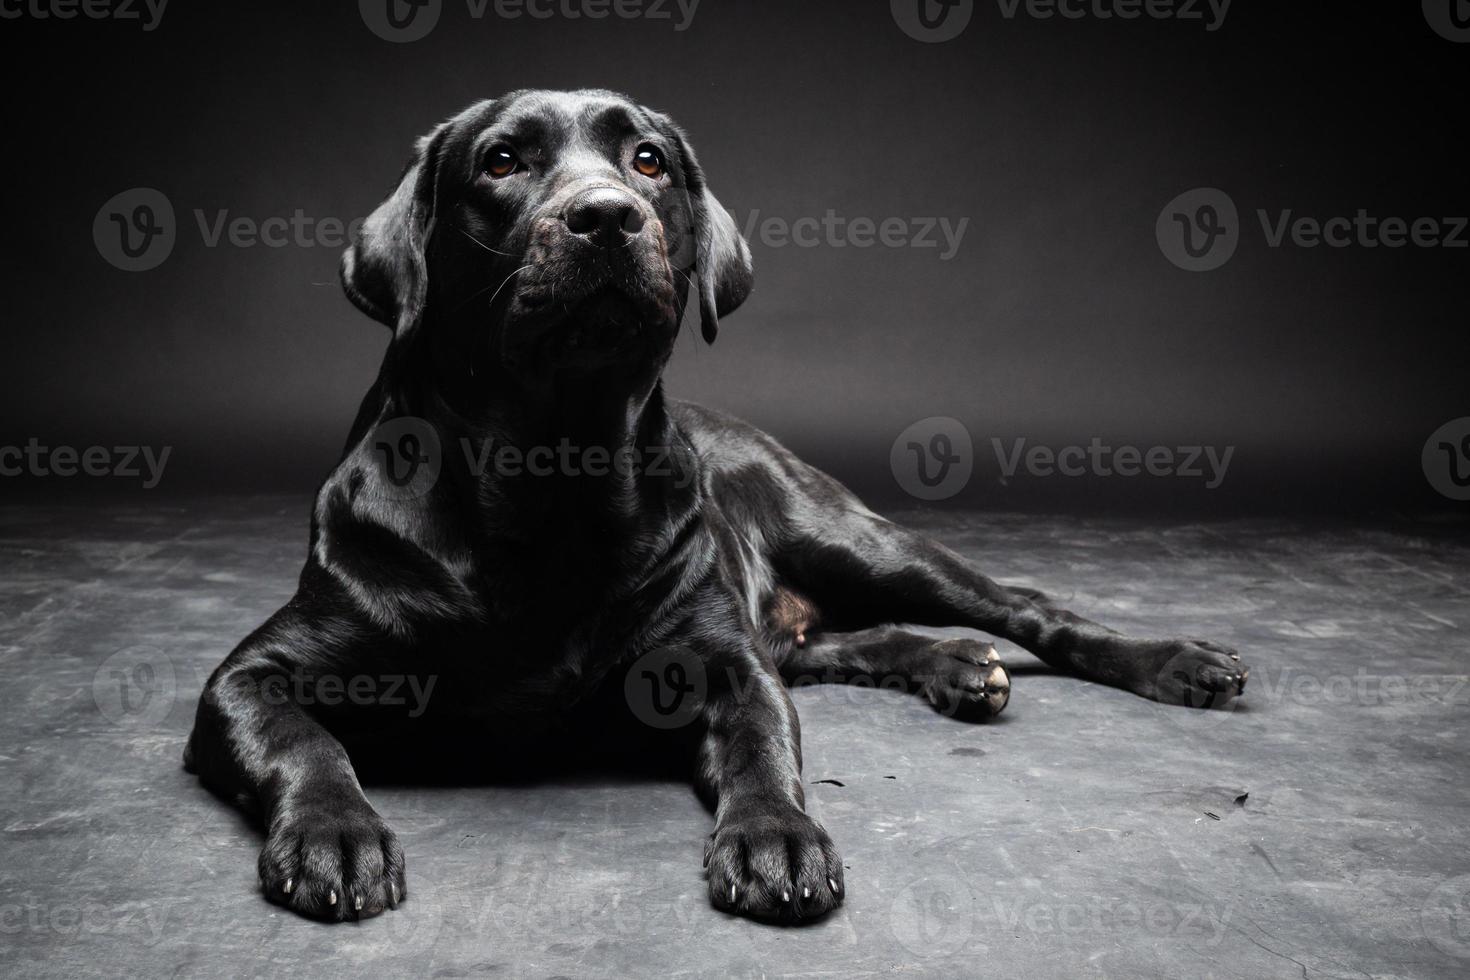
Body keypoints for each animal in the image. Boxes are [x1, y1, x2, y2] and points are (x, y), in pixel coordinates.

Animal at [180, 88, 1240, 922]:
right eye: (502, 161)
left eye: (646, 159)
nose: (607, 216)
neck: (550, 472)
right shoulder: (249, 677)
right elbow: (302, 738)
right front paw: (336, 833)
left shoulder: (726, 665)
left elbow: (765, 746)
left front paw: (778, 835)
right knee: (852, 640)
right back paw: (952, 666)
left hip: (855, 539)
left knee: (1024, 605)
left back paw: (1171, 660)